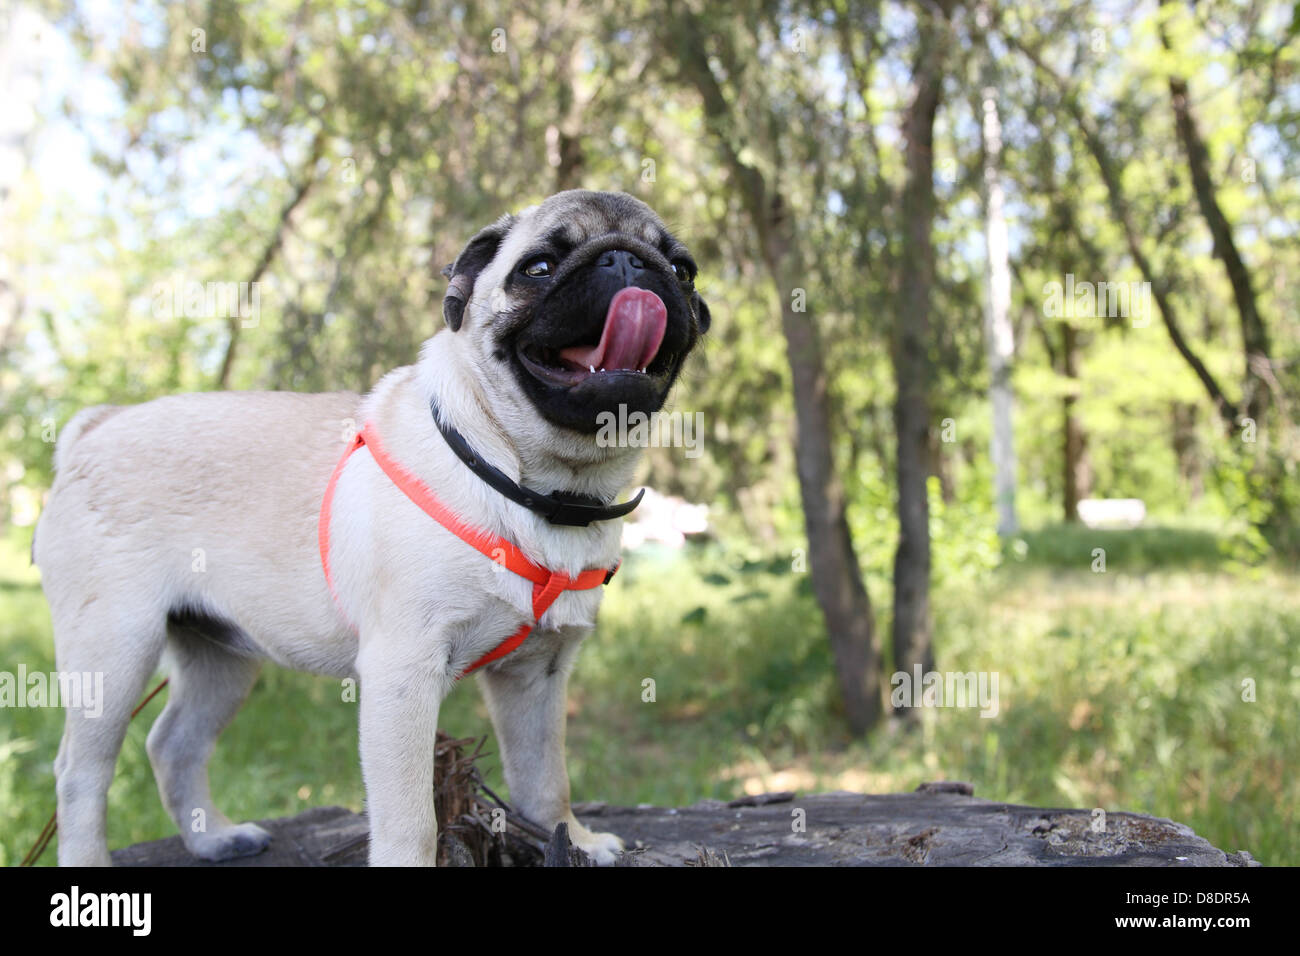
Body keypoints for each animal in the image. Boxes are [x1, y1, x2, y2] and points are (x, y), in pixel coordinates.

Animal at [35, 188, 712, 868]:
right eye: (538, 268)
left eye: (683, 270)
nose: (626, 261)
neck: (546, 489)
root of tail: (95, 427)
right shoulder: (402, 673)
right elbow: (411, 816)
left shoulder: (538, 675)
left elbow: (546, 777)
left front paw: (571, 838)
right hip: (113, 648)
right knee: (79, 772)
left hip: (218, 655)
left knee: (174, 743)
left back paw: (214, 837)